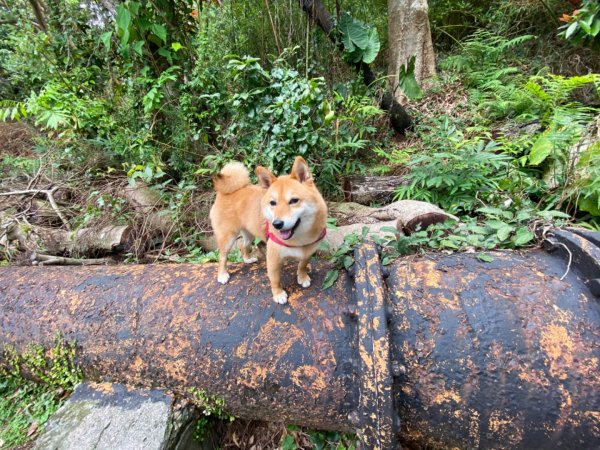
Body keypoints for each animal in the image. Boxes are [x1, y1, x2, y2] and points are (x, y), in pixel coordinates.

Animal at [210, 156, 328, 306]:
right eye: (273, 203)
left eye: (294, 201)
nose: (277, 224)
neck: (300, 239)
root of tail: (223, 192)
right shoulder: (273, 257)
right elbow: (275, 279)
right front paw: (278, 294)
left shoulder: (308, 251)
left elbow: (302, 265)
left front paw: (302, 277)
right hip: (228, 238)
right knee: (222, 257)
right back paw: (222, 275)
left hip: (249, 233)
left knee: (243, 245)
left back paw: (247, 259)